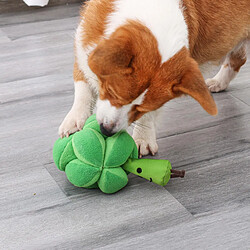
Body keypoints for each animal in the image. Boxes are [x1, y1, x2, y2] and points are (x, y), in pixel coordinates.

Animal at [59, 0, 250, 156]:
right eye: (111, 92)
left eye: (140, 109)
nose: (106, 131)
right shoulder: (83, 48)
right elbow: (82, 90)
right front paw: (73, 121)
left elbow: (148, 117)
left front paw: (142, 140)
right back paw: (218, 82)